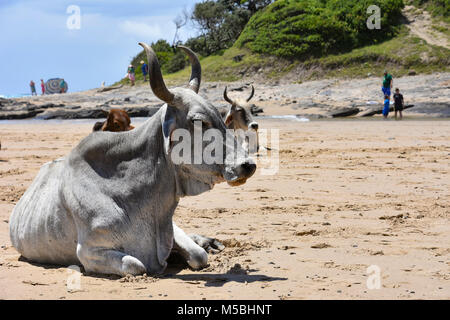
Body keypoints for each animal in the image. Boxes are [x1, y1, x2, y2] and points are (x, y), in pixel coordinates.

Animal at [8, 43, 256, 276]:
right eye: (199, 121)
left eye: (221, 117)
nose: (248, 165)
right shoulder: (89, 252)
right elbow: (137, 265)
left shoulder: (169, 229)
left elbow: (198, 256)